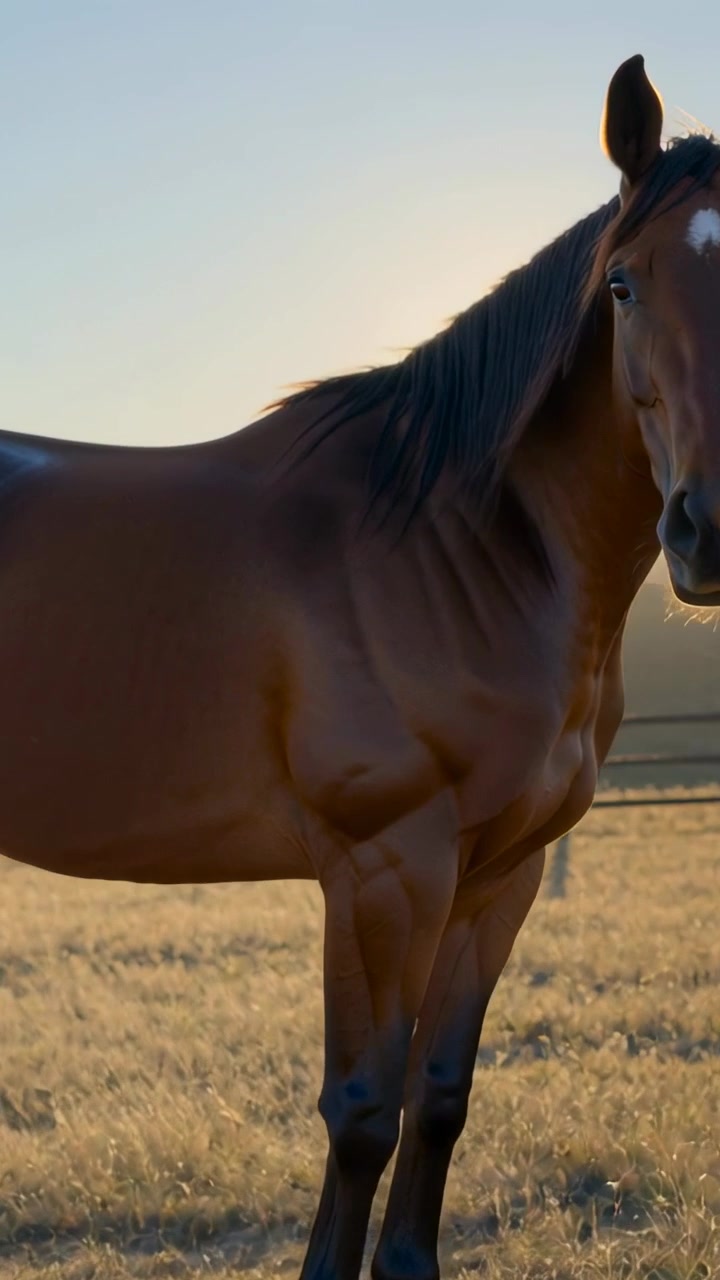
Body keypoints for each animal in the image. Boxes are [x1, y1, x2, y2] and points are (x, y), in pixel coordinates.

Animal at [2, 52, 720, 1279]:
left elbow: (439, 1098)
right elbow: (363, 1116)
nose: (710, 529)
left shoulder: (501, 875)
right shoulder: (388, 870)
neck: (455, 544)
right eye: (623, 287)